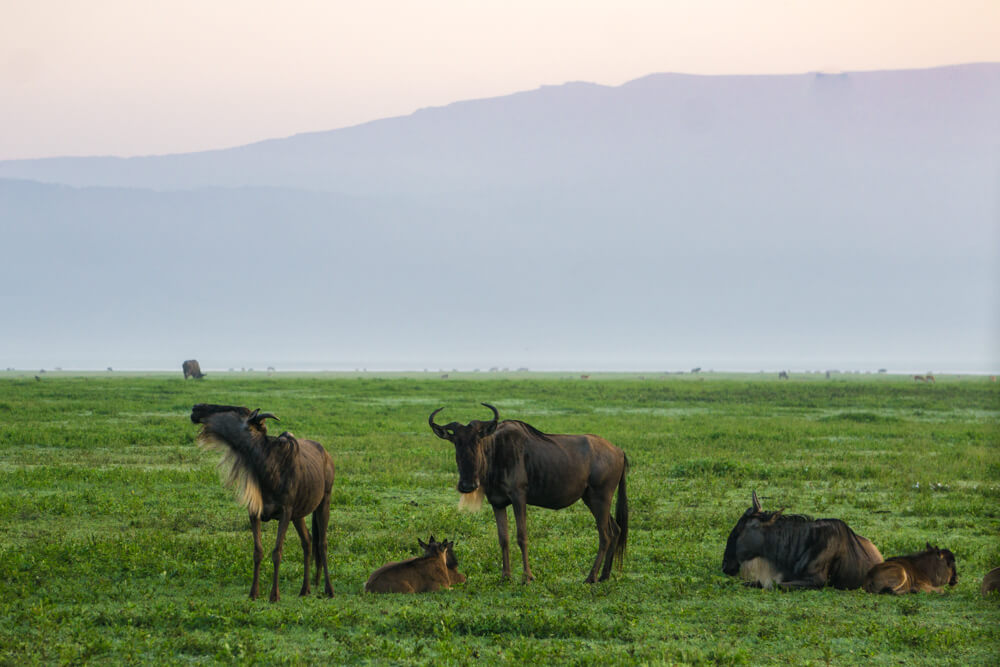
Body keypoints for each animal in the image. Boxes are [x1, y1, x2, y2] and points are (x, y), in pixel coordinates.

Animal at [191, 404, 336, 604]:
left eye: (227, 410)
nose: (196, 409)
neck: (268, 467)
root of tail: (327, 455)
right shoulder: (255, 512)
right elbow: (257, 552)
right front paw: (254, 593)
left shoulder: (285, 513)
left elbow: (277, 552)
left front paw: (274, 595)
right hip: (298, 515)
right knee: (307, 541)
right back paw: (304, 589)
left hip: (324, 501)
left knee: (322, 543)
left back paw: (329, 590)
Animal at [428, 402, 624, 584]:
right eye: (456, 442)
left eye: (478, 440)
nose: (468, 485)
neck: (496, 453)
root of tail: (619, 451)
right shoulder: (497, 503)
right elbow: (503, 538)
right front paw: (505, 576)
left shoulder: (519, 497)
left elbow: (522, 536)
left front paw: (527, 577)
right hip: (591, 499)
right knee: (615, 530)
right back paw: (604, 576)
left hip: (600, 497)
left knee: (605, 535)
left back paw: (591, 577)